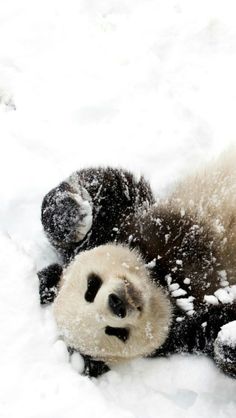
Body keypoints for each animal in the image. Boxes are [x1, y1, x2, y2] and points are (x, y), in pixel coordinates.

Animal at [37, 151, 236, 378]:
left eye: (91, 289)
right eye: (115, 332)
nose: (117, 304)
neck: (164, 281)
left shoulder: (126, 224)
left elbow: (112, 184)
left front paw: (71, 217)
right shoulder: (190, 329)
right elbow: (214, 334)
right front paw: (227, 342)